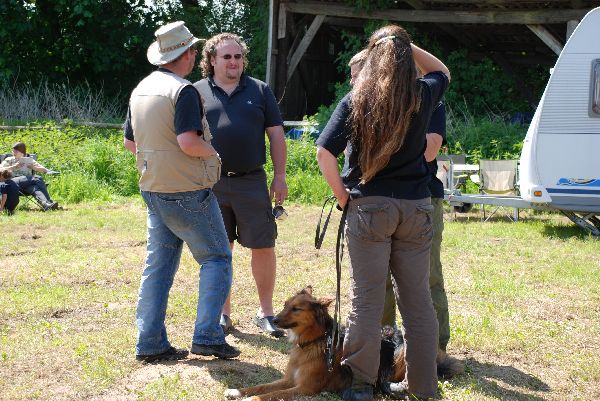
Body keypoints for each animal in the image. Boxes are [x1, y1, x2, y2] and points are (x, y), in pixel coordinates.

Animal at [223, 286, 462, 400]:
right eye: (285, 304)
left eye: (296, 309)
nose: (273, 320)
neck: (314, 341)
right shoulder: (289, 379)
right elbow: (262, 386)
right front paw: (237, 391)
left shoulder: (305, 388)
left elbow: (269, 395)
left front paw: (250, 400)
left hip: (401, 352)